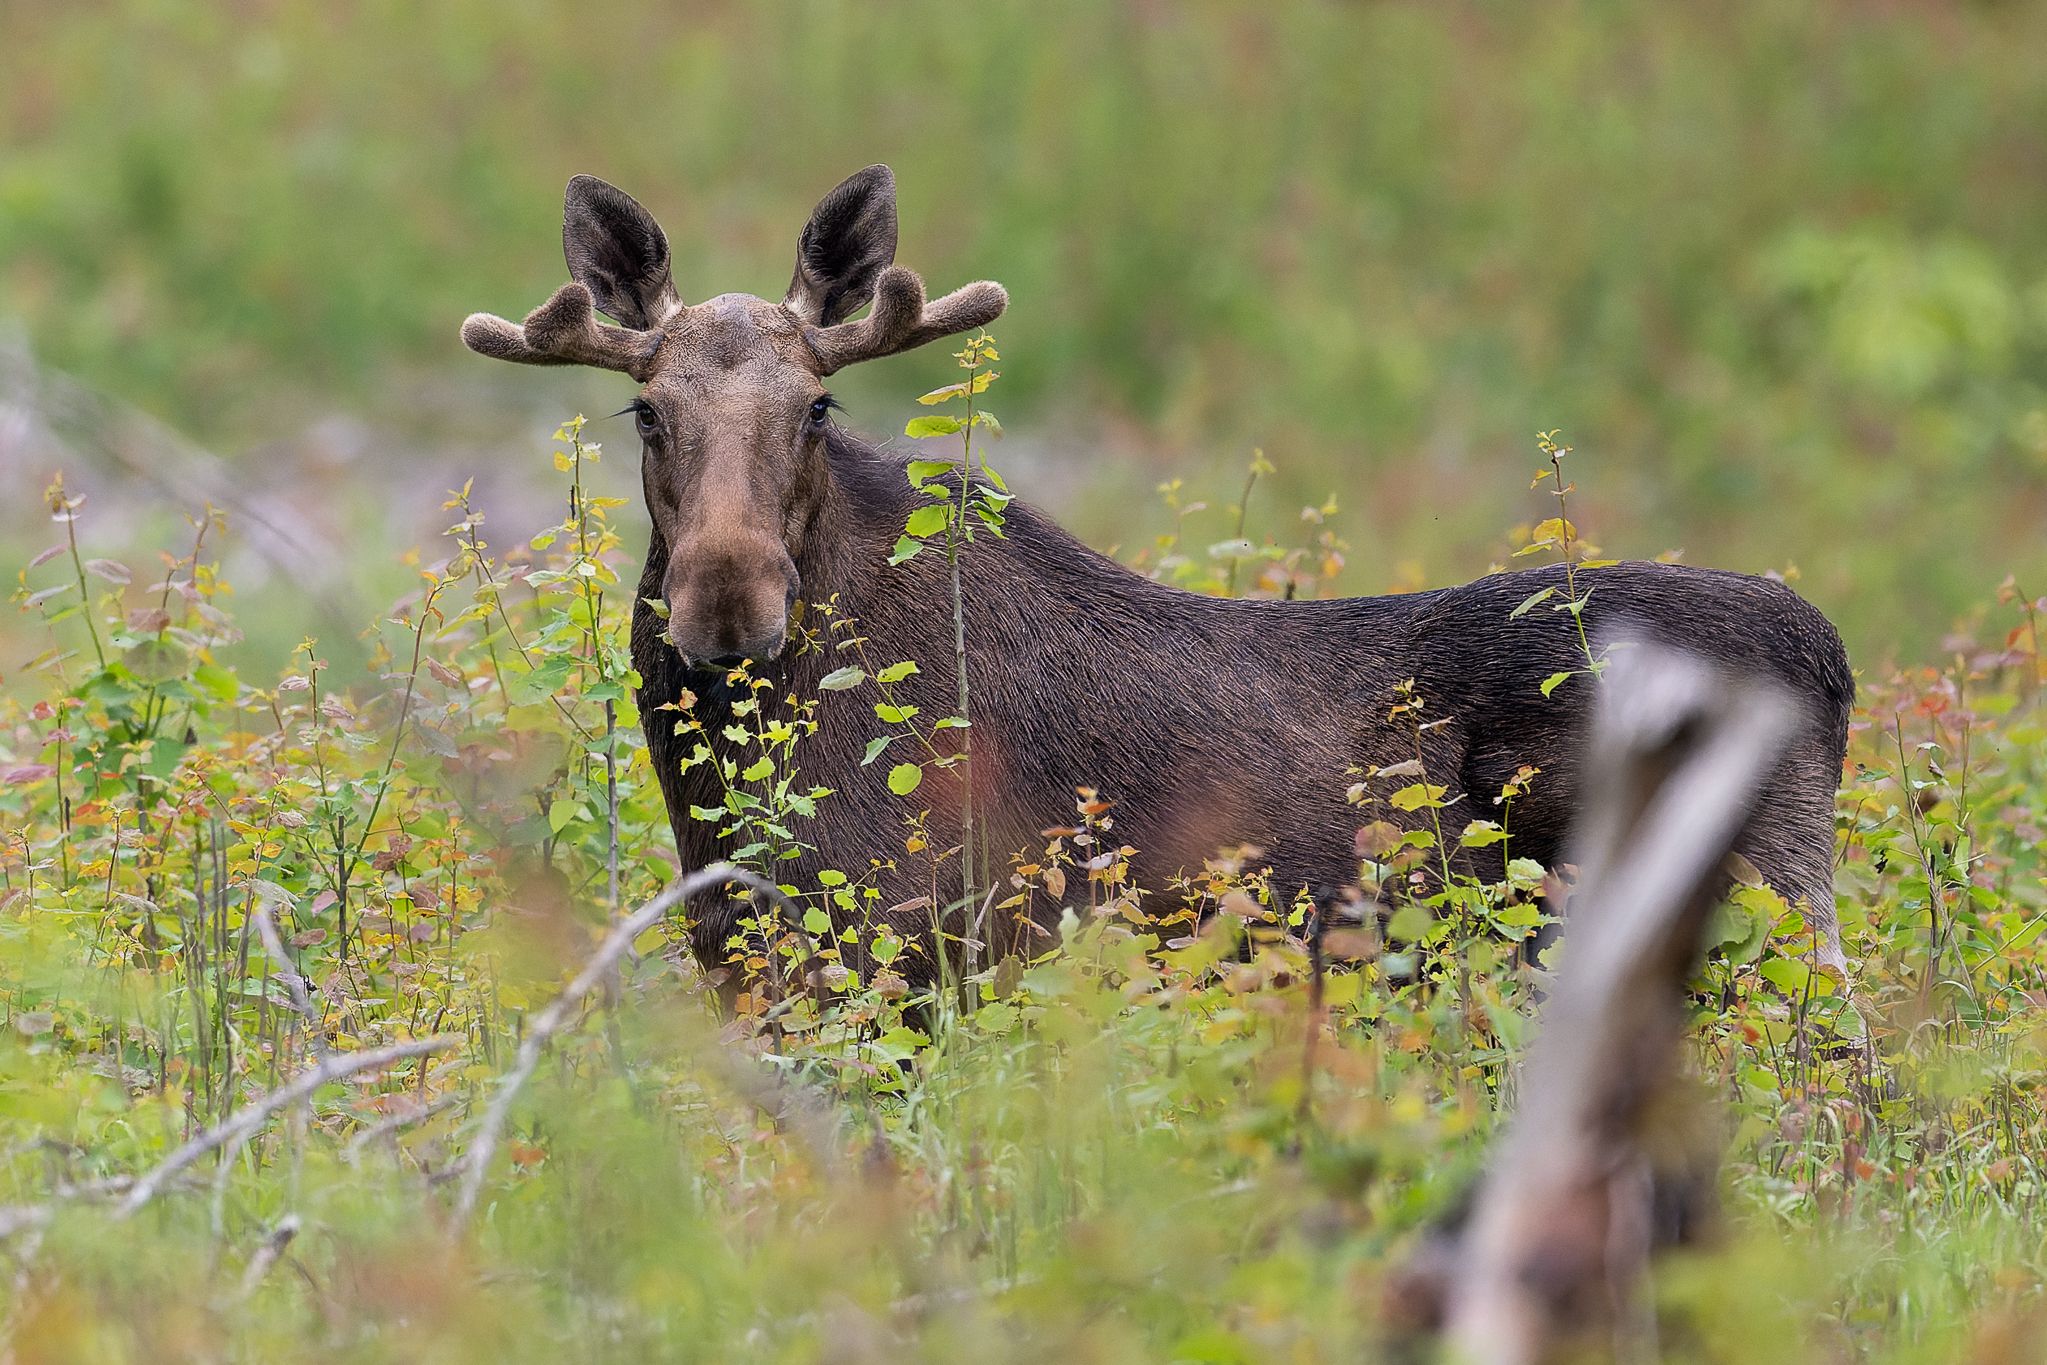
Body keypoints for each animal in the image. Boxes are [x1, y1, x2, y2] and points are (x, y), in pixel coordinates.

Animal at [468, 165, 1858, 986]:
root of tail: (1831, 662)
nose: (726, 602)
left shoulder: (918, 951)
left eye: (817, 406)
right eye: (646, 414)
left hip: (1758, 906)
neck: (724, 771)